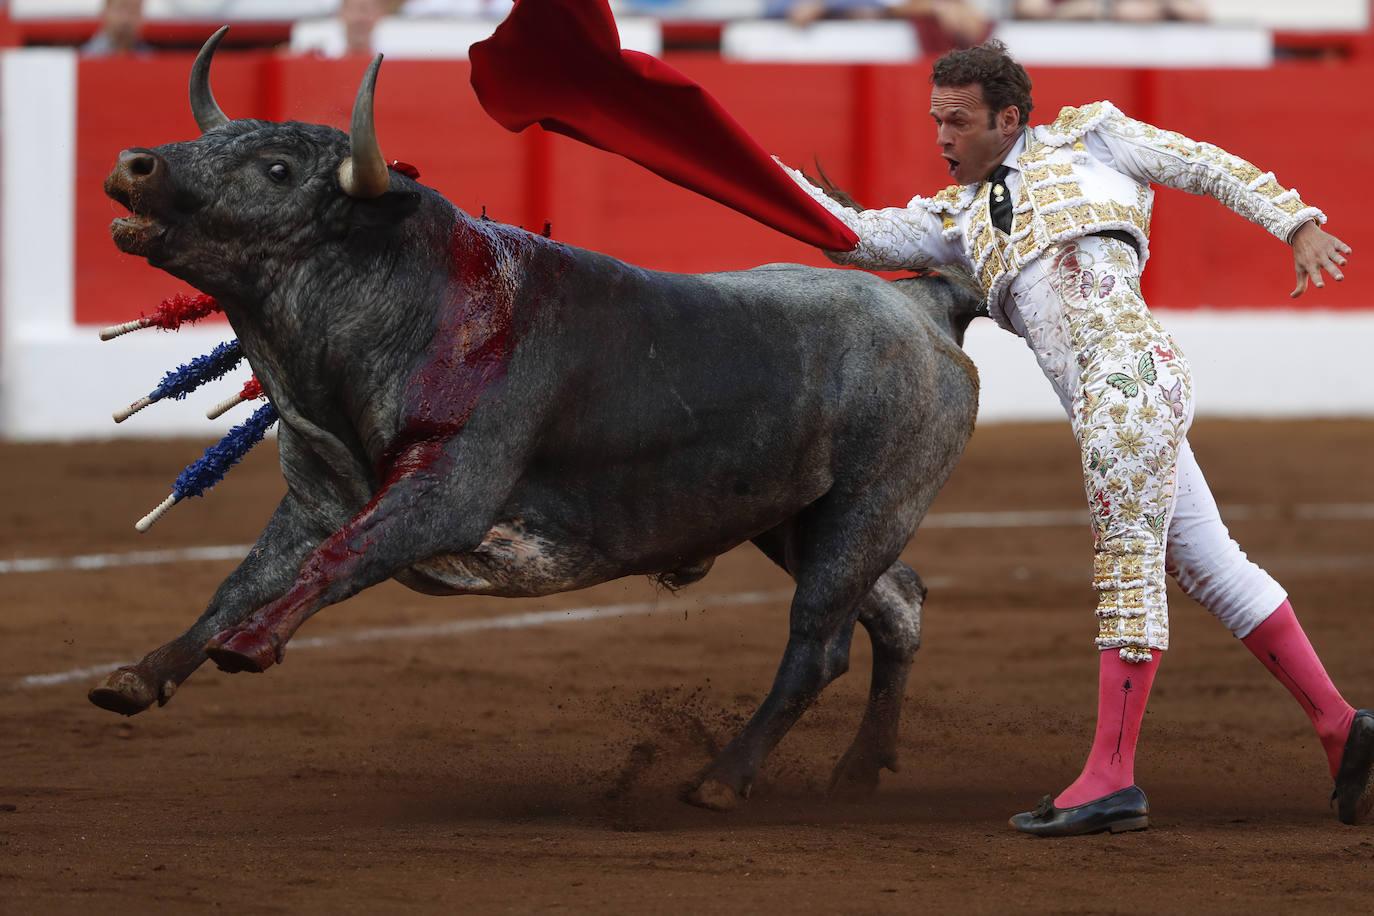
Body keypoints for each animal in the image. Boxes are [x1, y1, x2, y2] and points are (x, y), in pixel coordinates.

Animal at [88, 30, 989, 818]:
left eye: (276, 170)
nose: (135, 164)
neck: (413, 305)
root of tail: (922, 303)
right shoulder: (317, 497)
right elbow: (245, 579)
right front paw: (140, 675)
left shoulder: (443, 494)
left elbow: (339, 559)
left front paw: (247, 647)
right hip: (793, 519)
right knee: (896, 605)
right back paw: (859, 770)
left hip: (870, 507)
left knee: (819, 641)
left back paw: (722, 779)